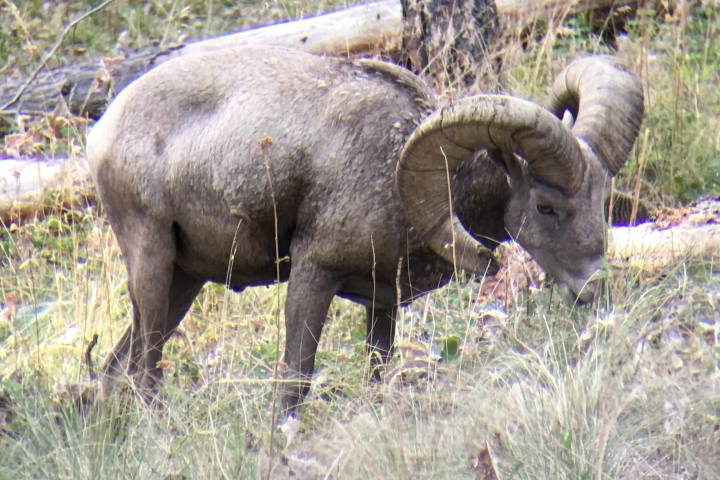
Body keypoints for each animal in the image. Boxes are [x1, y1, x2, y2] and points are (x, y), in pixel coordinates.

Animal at [86, 45, 643, 414]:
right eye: (547, 207)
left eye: (603, 199)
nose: (595, 286)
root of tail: (104, 129)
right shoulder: (314, 275)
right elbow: (295, 382)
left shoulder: (382, 302)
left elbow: (378, 371)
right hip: (153, 265)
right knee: (143, 372)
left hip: (185, 282)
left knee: (117, 369)